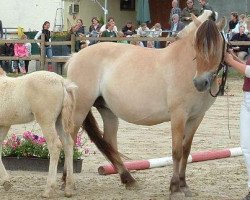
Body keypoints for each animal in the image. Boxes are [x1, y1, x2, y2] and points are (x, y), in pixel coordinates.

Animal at [65, 10, 226, 198]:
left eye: (217, 45)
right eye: (196, 45)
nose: (200, 83)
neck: (186, 66)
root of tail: (76, 56)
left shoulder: (196, 117)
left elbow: (186, 150)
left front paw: (184, 185)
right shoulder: (178, 116)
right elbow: (177, 151)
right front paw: (175, 188)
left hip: (107, 111)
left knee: (109, 142)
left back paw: (128, 179)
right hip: (80, 109)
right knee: (70, 140)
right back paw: (66, 182)